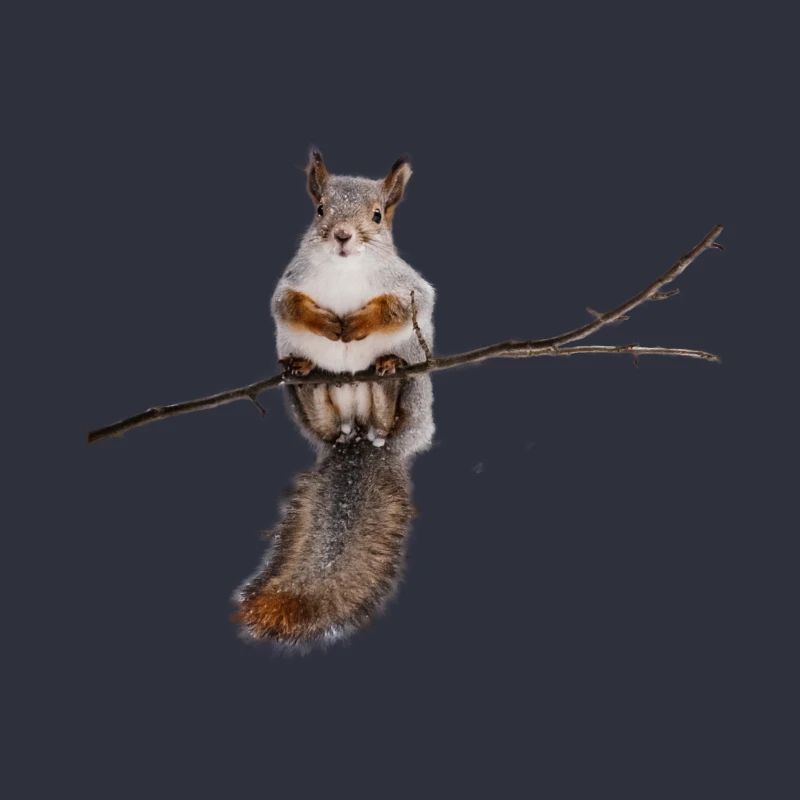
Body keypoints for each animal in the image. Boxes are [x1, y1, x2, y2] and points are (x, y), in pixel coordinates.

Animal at [233, 149, 436, 649]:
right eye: (320, 210)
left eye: (378, 216)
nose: (343, 236)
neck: (346, 271)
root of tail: (359, 437)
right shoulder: (288, 285)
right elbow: (287, 306)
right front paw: (326, 323)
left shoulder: (411, 287)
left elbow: (405, 305)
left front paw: (358, 322)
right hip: (308, 404)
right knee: (321, 408)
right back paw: (306, 373)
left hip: (414, 394)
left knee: (388, 410)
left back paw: (386, 373)